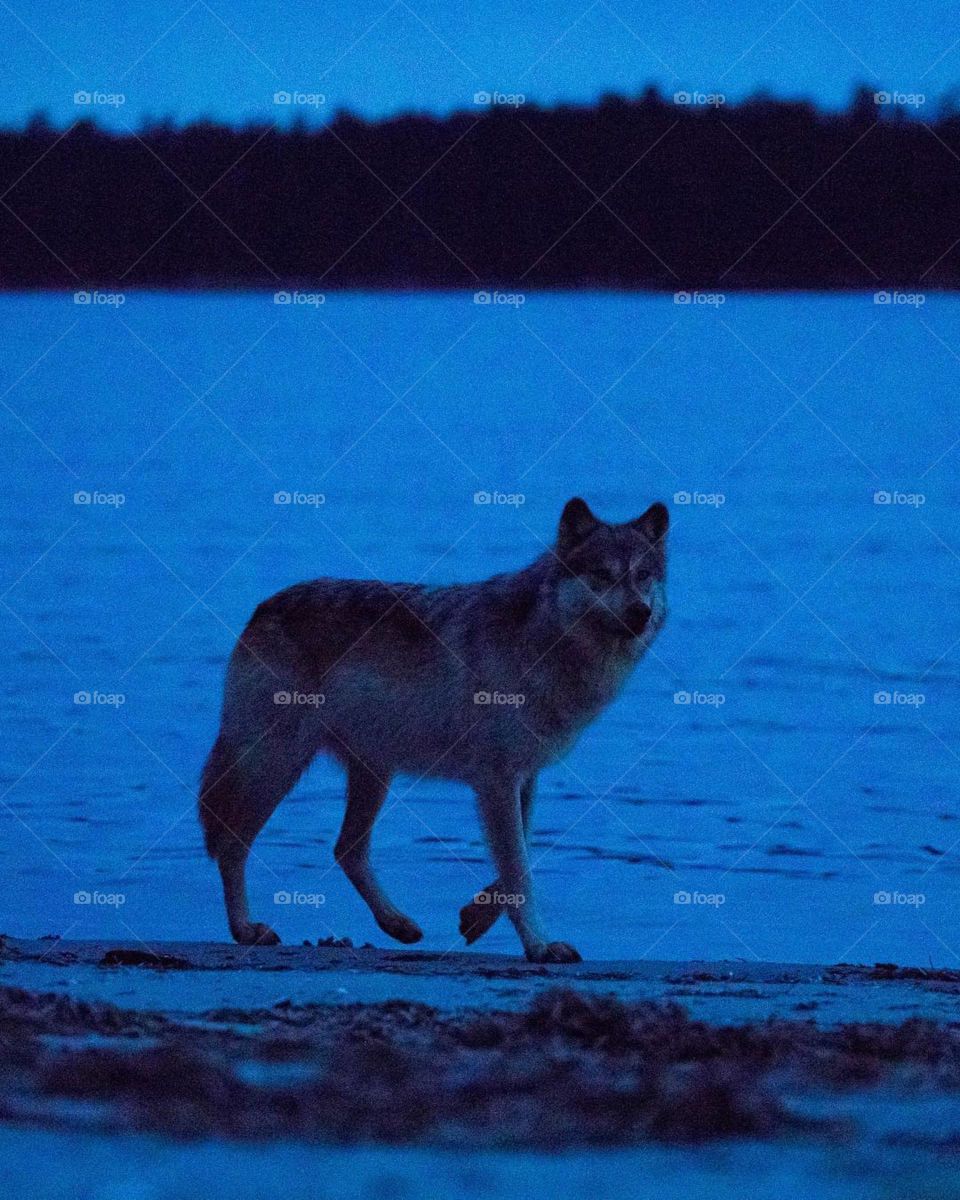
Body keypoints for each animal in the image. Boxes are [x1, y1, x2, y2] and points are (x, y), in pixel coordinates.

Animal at [199, 496, 668, 962]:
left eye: (643, 576)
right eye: (603, 574)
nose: (640, 613)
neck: (544, 643)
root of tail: (263, 608)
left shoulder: (524, 778)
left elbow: (524, 850)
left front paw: (479, 915)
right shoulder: (496, 781)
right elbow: (519, 870)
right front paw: (539, 945)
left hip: (373, 772)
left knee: (347, 848)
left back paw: (397, 924)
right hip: (276, 767)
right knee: (231, 843)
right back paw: (246, 930)